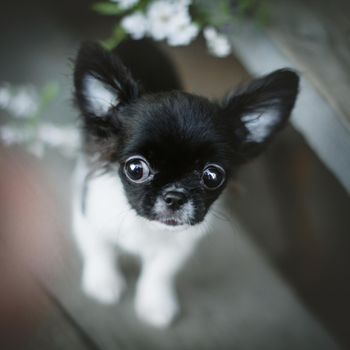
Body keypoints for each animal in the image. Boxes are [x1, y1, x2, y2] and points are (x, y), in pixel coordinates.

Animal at [72, 41, 300, 328]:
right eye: (136, 169)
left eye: (212, 176)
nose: (175, 196)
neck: (147, 227)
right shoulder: (88, 214)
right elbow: (98, 250)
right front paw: (103, 281)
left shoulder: (180, 246)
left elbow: (160, 272)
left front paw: (155, 303)